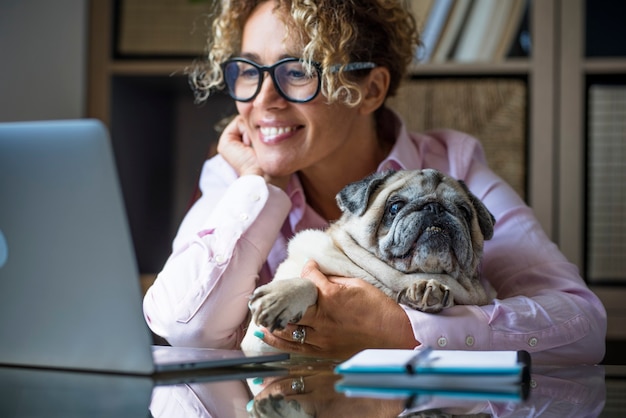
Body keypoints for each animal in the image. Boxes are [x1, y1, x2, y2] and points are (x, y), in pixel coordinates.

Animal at [241, 167, 494, 352]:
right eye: (395, 207)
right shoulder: (260, 342)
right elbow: (310, 282)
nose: (435, 207)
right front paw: (283, 296)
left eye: (464, 212)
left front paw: (429, 290)